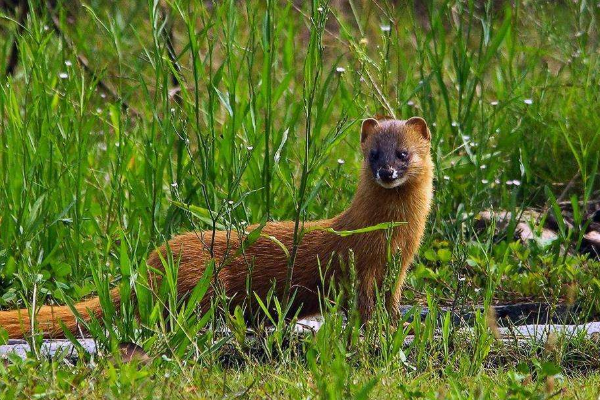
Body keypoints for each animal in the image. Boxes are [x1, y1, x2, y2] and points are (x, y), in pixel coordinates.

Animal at [0, 115, 432, 338]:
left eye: (403, 153)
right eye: (373, 153)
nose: (386, 171)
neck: (394, 236)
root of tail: (148, 267)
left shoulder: (398, 269)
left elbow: (389, 302)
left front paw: (397, 324)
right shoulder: (363, 265)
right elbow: (363, 304)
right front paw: (375, 331)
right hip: (203, 279)